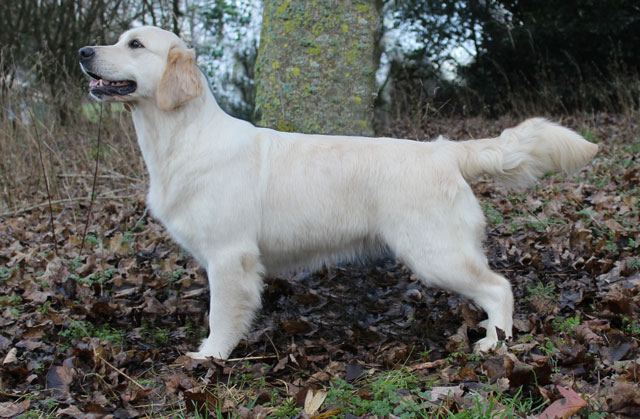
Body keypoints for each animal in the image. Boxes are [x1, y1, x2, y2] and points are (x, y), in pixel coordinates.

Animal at [80, 27, 600, 360]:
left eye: (135, 44)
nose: (84, 51)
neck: (181, 137)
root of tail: (443, 150)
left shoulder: (230, 255)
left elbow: (220, 316)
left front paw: (210, 356)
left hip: (436, 253)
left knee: (499, 287)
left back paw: (496, 342)